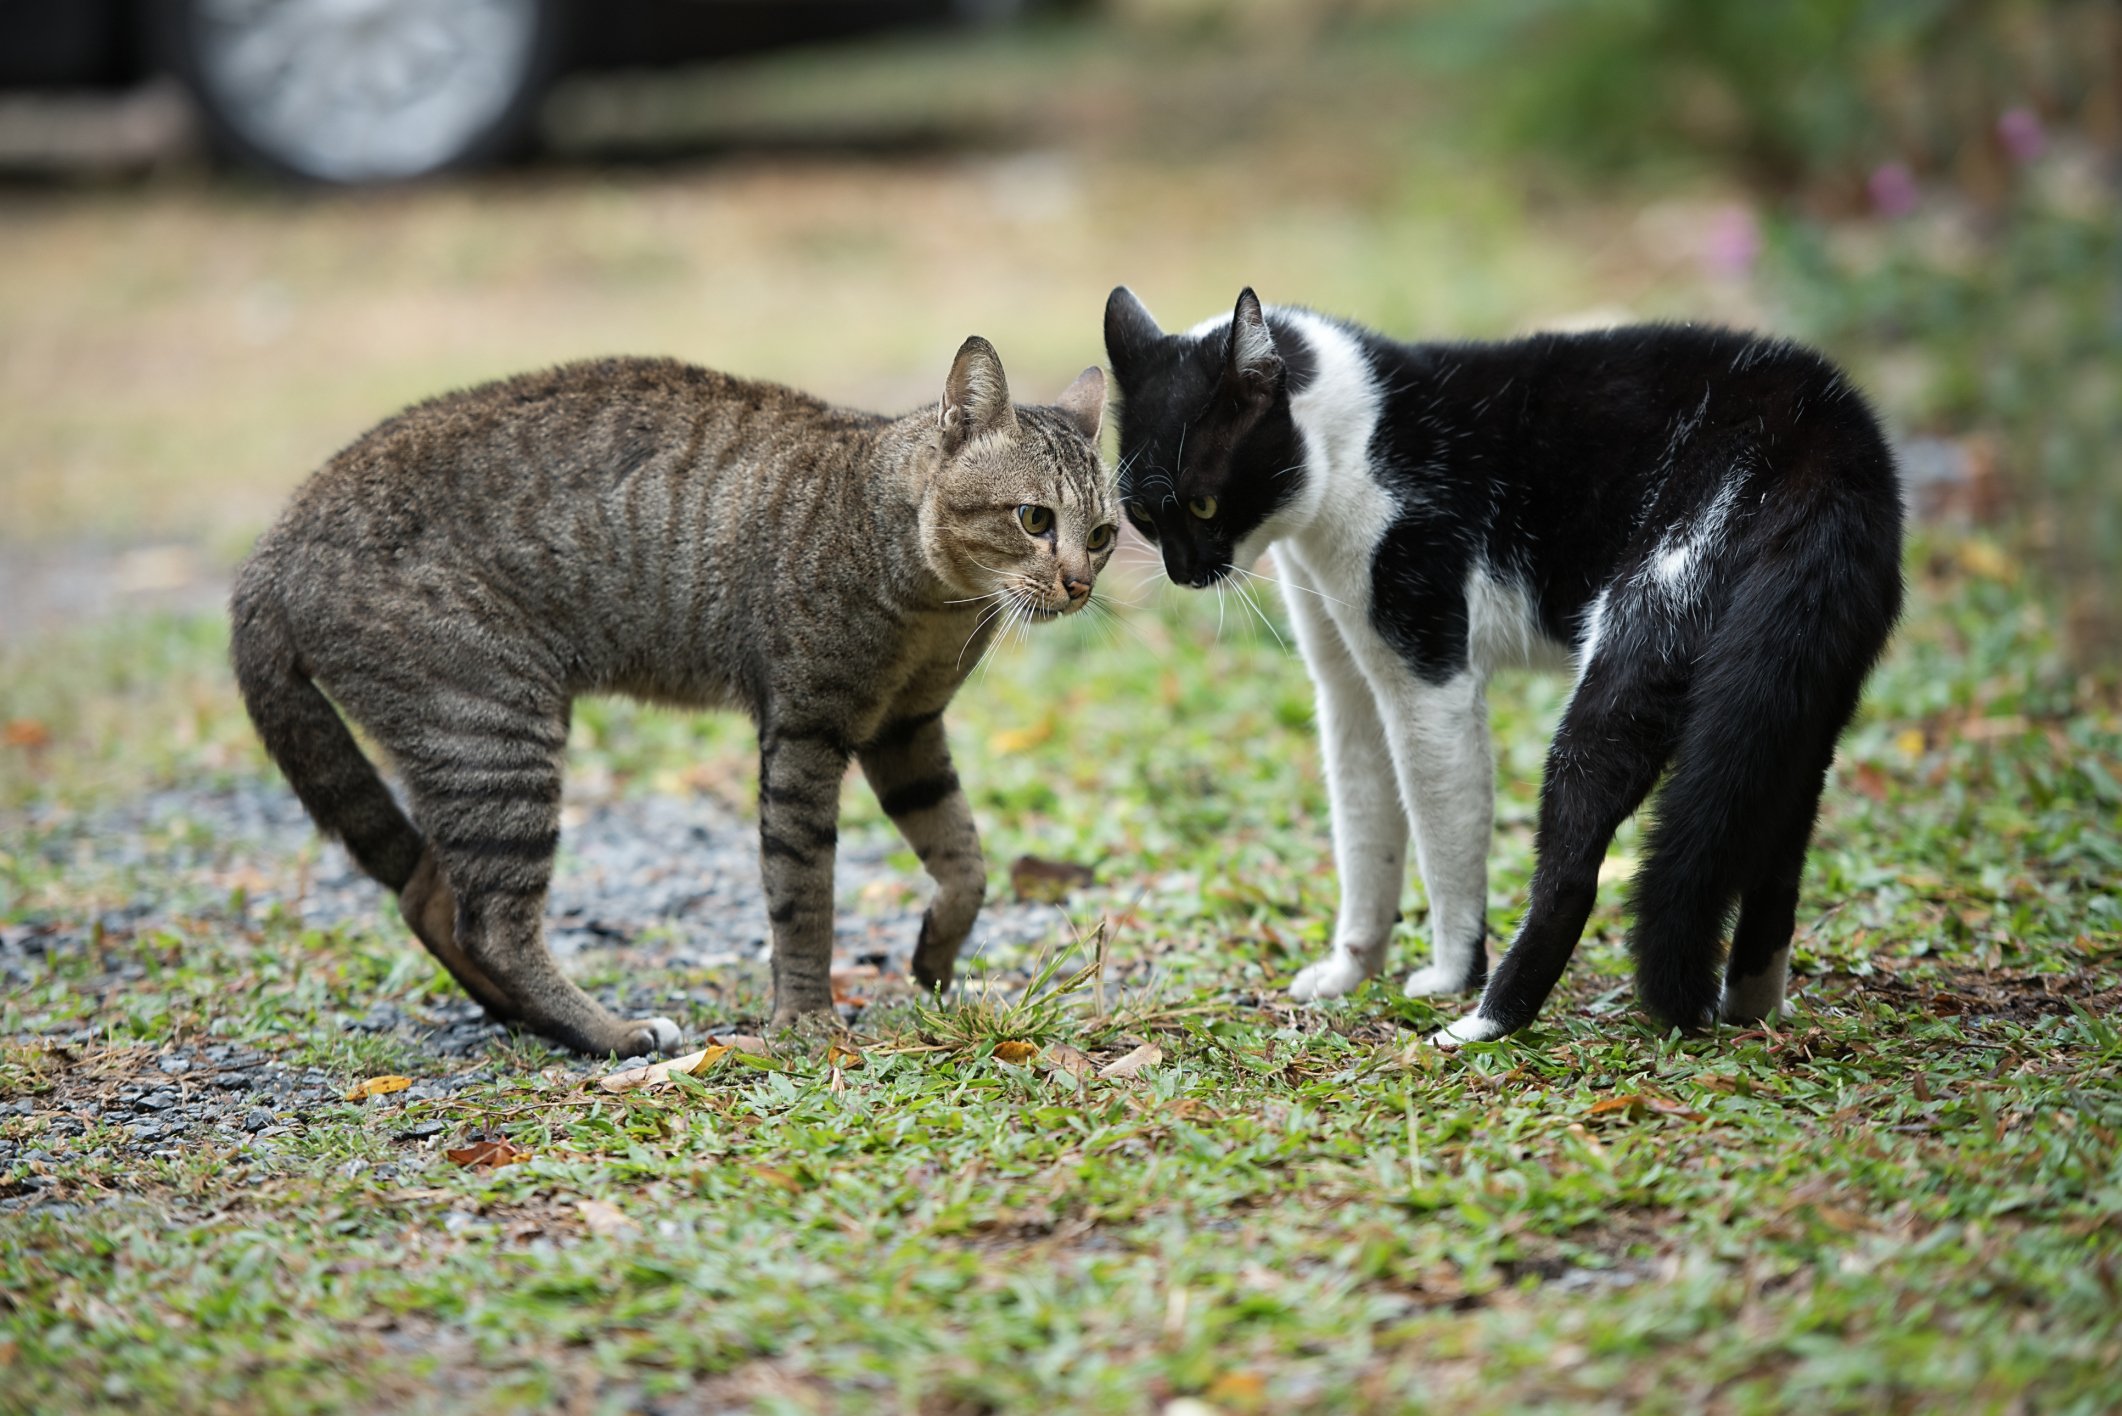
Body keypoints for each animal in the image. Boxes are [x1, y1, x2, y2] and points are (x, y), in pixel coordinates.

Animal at [236, 337, 1111, 1057]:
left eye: (1102, 535)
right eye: (1034, 518)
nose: (1078, 583)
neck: (935, 601)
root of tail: (271, 546)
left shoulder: (906, 730)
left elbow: (965, 859)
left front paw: (933, 959)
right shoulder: (806, 731)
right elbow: (803, 891)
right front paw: (806, 1017)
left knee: (429, 898)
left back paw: (535, 1022)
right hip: (493, 731)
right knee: (490, 924)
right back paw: (608, 1033)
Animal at [1111, 284, 1909, 1040]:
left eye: (1204, 504)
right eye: (1143, 518)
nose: (1183, 573)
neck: (1358, 440)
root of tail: (1829, 433)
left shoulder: (1429, 679)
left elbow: (1444, 841)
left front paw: (1448, 974)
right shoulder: (1346, 691)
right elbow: (1365, 836)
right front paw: (1349, 970)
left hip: (1643, 638)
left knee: (1575, 866)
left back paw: (1484, 1021)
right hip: (1791, 696)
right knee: (1774, 847)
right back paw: (1751, 1007)